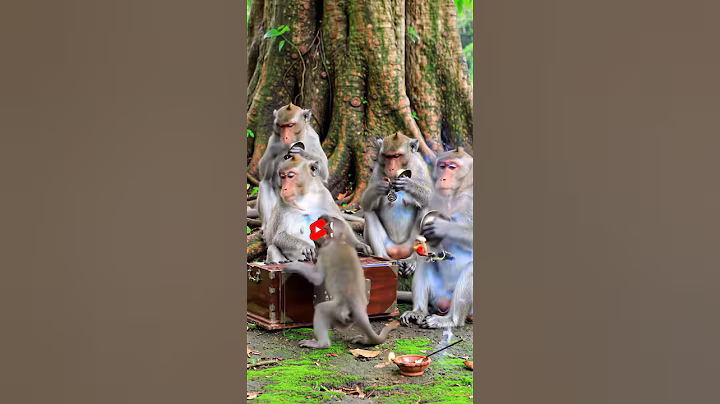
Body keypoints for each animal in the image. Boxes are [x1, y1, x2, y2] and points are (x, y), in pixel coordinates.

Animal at [282, 215, 399, 349]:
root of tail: (357, 306)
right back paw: (367, 340)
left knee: (321, 309)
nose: (312, 233)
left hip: (338, 311)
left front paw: (292, 266)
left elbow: (317, 277)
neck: (338, 242)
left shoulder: (325, 253)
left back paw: (321, 344)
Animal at [360, 132, 433, 271]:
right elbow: (366, 204)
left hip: (410, 245)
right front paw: (379, 187)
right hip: (388, 245)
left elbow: (431, 199)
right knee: (369, 212)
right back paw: (383, 258)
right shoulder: (378, 168)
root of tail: (398, 251)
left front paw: (408, 184)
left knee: (426, 208)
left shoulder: (421, 167)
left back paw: (413, 259)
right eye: (387, 156)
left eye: (396, 156)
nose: (390, 169)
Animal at [399, 147, 474, 328]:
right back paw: (418, 312)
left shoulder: (470, 199)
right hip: (437, 293)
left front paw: (442, 226)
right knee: (425, 260)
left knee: (471, 268)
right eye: (442, 166)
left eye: (452, 167)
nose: (442, 178)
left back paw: (450, 320)